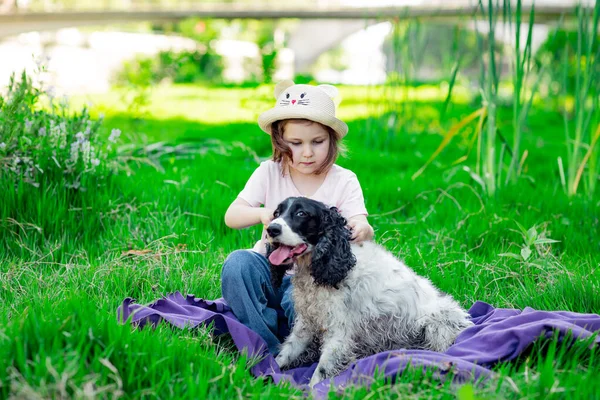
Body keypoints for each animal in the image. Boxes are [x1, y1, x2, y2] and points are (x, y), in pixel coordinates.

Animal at [268, 197, 474, 388]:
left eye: (301, 213)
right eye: (276, 213)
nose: (271, 229)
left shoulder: (339, 332)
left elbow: (320, 372)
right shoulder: (307, 323)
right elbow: (285, 353)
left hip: (437, 325)